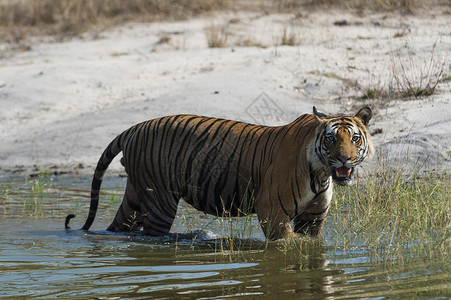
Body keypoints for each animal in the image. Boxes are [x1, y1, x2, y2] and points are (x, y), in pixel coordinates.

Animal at [64, 106, 374, 240]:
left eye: (354, 138)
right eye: (331, 139)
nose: (344, 158)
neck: (320, 172)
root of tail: (133, 127)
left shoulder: (313, 218)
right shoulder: (272, 211)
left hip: (135, 197)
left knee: (120, 226)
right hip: (159, 198)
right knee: (152, 234)